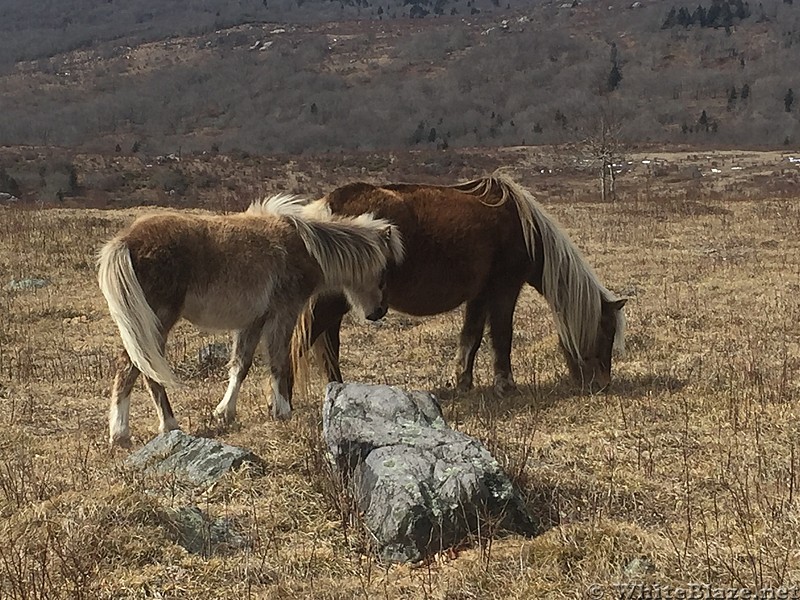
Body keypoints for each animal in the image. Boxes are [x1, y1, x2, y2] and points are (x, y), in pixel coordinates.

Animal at [97, 195, 404, 448]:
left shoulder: (253, 321)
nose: (379, 311)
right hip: (156, 322)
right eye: (384, 269)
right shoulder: (284, 314)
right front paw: (283, 411)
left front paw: (225, 412)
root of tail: (125, 241)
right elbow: (280, 363)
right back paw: (145, 430)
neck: (304, 247)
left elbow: (240, 366)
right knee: (136, 369)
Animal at [296, 173, 628, 396]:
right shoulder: (504, 289)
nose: (602, 384)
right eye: (605, 331)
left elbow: (472, 337)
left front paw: (464, 382)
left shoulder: (479, 295)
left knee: (329, 348)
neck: (525, 230)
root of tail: (325, 208)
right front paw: (505, 385)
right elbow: (502, 336)